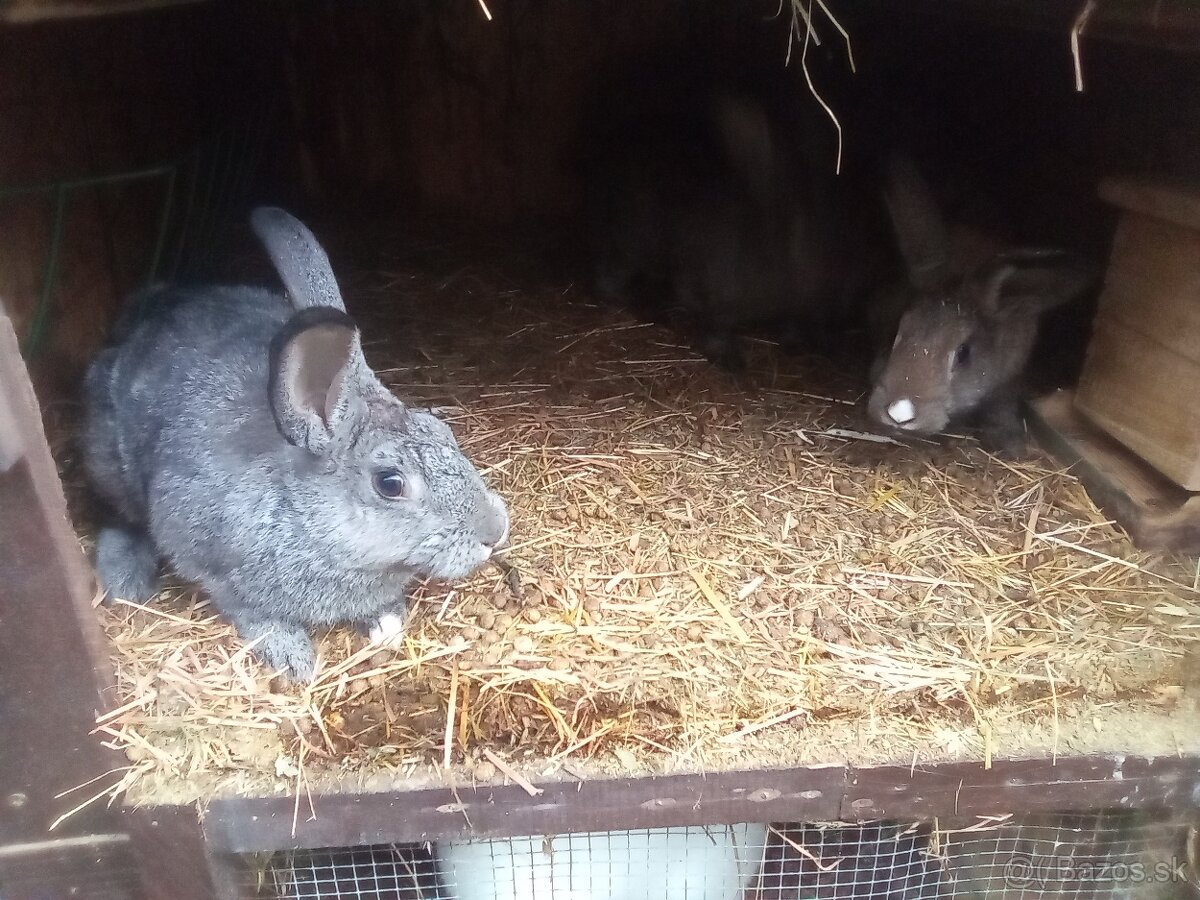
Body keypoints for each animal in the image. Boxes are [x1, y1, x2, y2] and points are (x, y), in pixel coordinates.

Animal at [81, 206, 509, 681]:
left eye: (441, 430)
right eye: (390, 483)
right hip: (112, 466)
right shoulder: (211, 564)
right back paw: (125, 580)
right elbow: (253, 614)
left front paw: (386, 624)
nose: (495, 531)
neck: (309, 522)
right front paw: (294, 659)